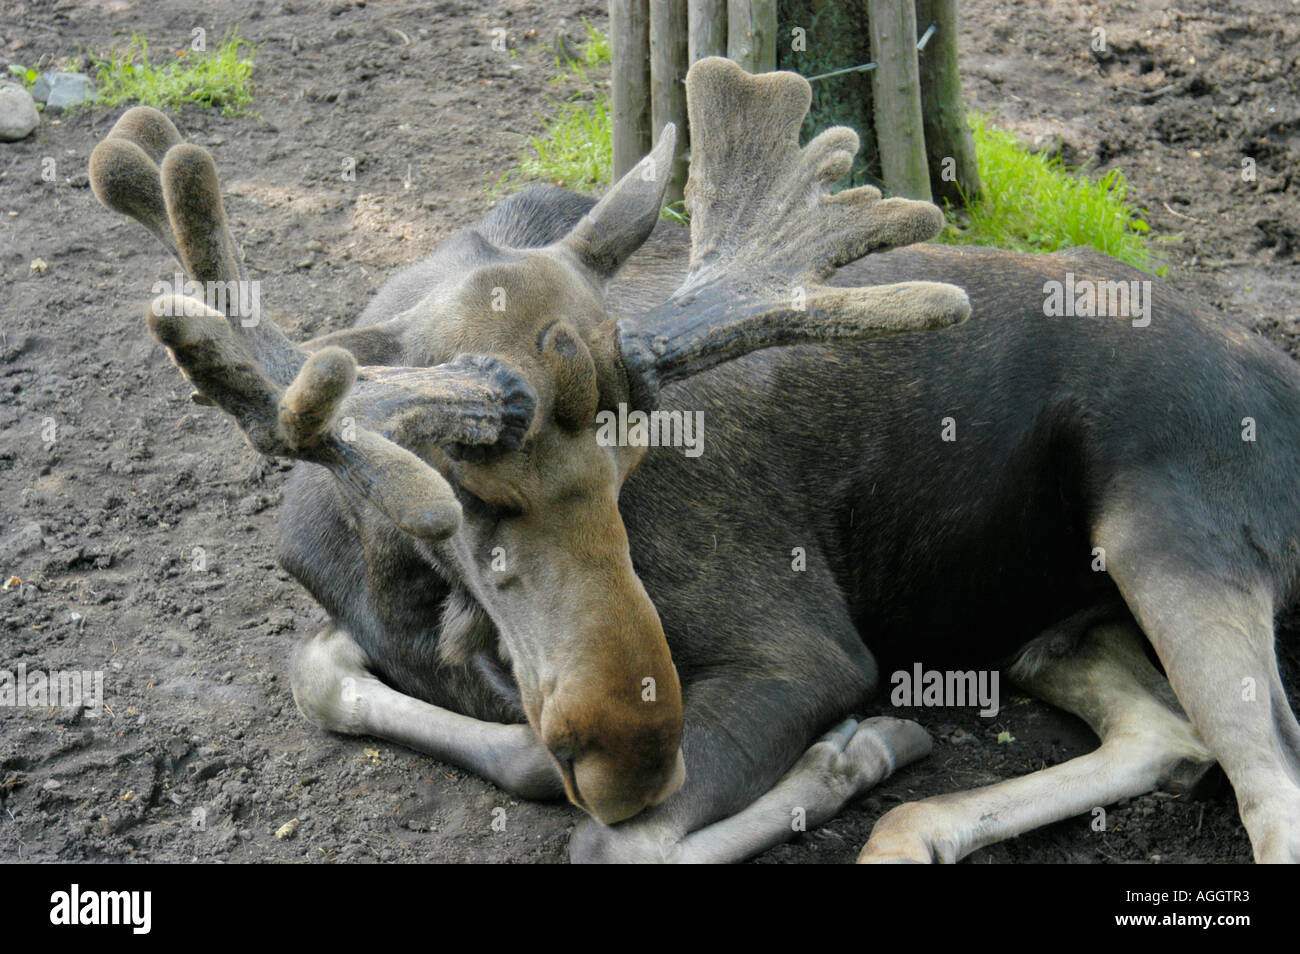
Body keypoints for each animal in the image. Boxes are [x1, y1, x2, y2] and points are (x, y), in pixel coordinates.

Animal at [91, 59, 1300, 868]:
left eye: (640, 464)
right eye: (457, 491)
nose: (631, 753)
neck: (398, 584)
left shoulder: (804, 650)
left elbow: (610, 843)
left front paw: (848, 754)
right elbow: (320, 675)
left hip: (1165, 531)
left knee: (1268, 780)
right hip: (1059, 626)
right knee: (1171, 733)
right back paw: (913, 829)